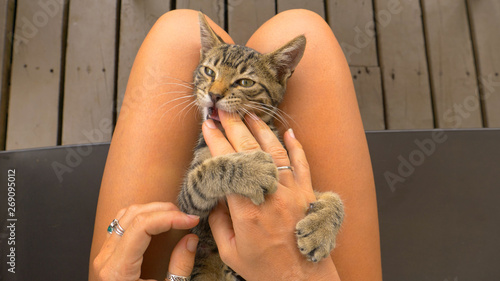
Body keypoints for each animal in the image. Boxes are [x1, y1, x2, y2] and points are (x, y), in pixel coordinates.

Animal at [178, 12, 346, 278]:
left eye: (245, 82)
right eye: (208, 71)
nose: (214, 95)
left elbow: (334, 198)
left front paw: (321, 231)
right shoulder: (188, 207)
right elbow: (207, 172)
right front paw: (251, 170)